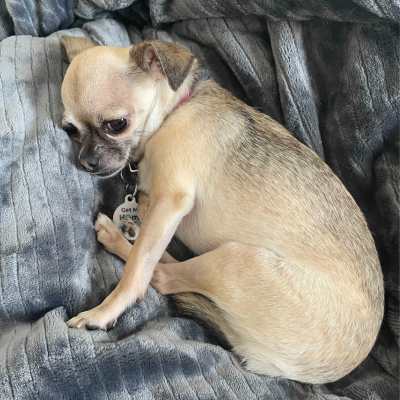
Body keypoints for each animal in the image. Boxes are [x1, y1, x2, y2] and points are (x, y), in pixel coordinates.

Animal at [60, 37, 384, 384]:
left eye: (116, 124)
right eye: (71, 130)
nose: (86, 162)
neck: (173, 112)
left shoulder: (171, 200)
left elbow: (137, 269)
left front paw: (103, 311)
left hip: (235, 258)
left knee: (159, 276)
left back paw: (117, 237)